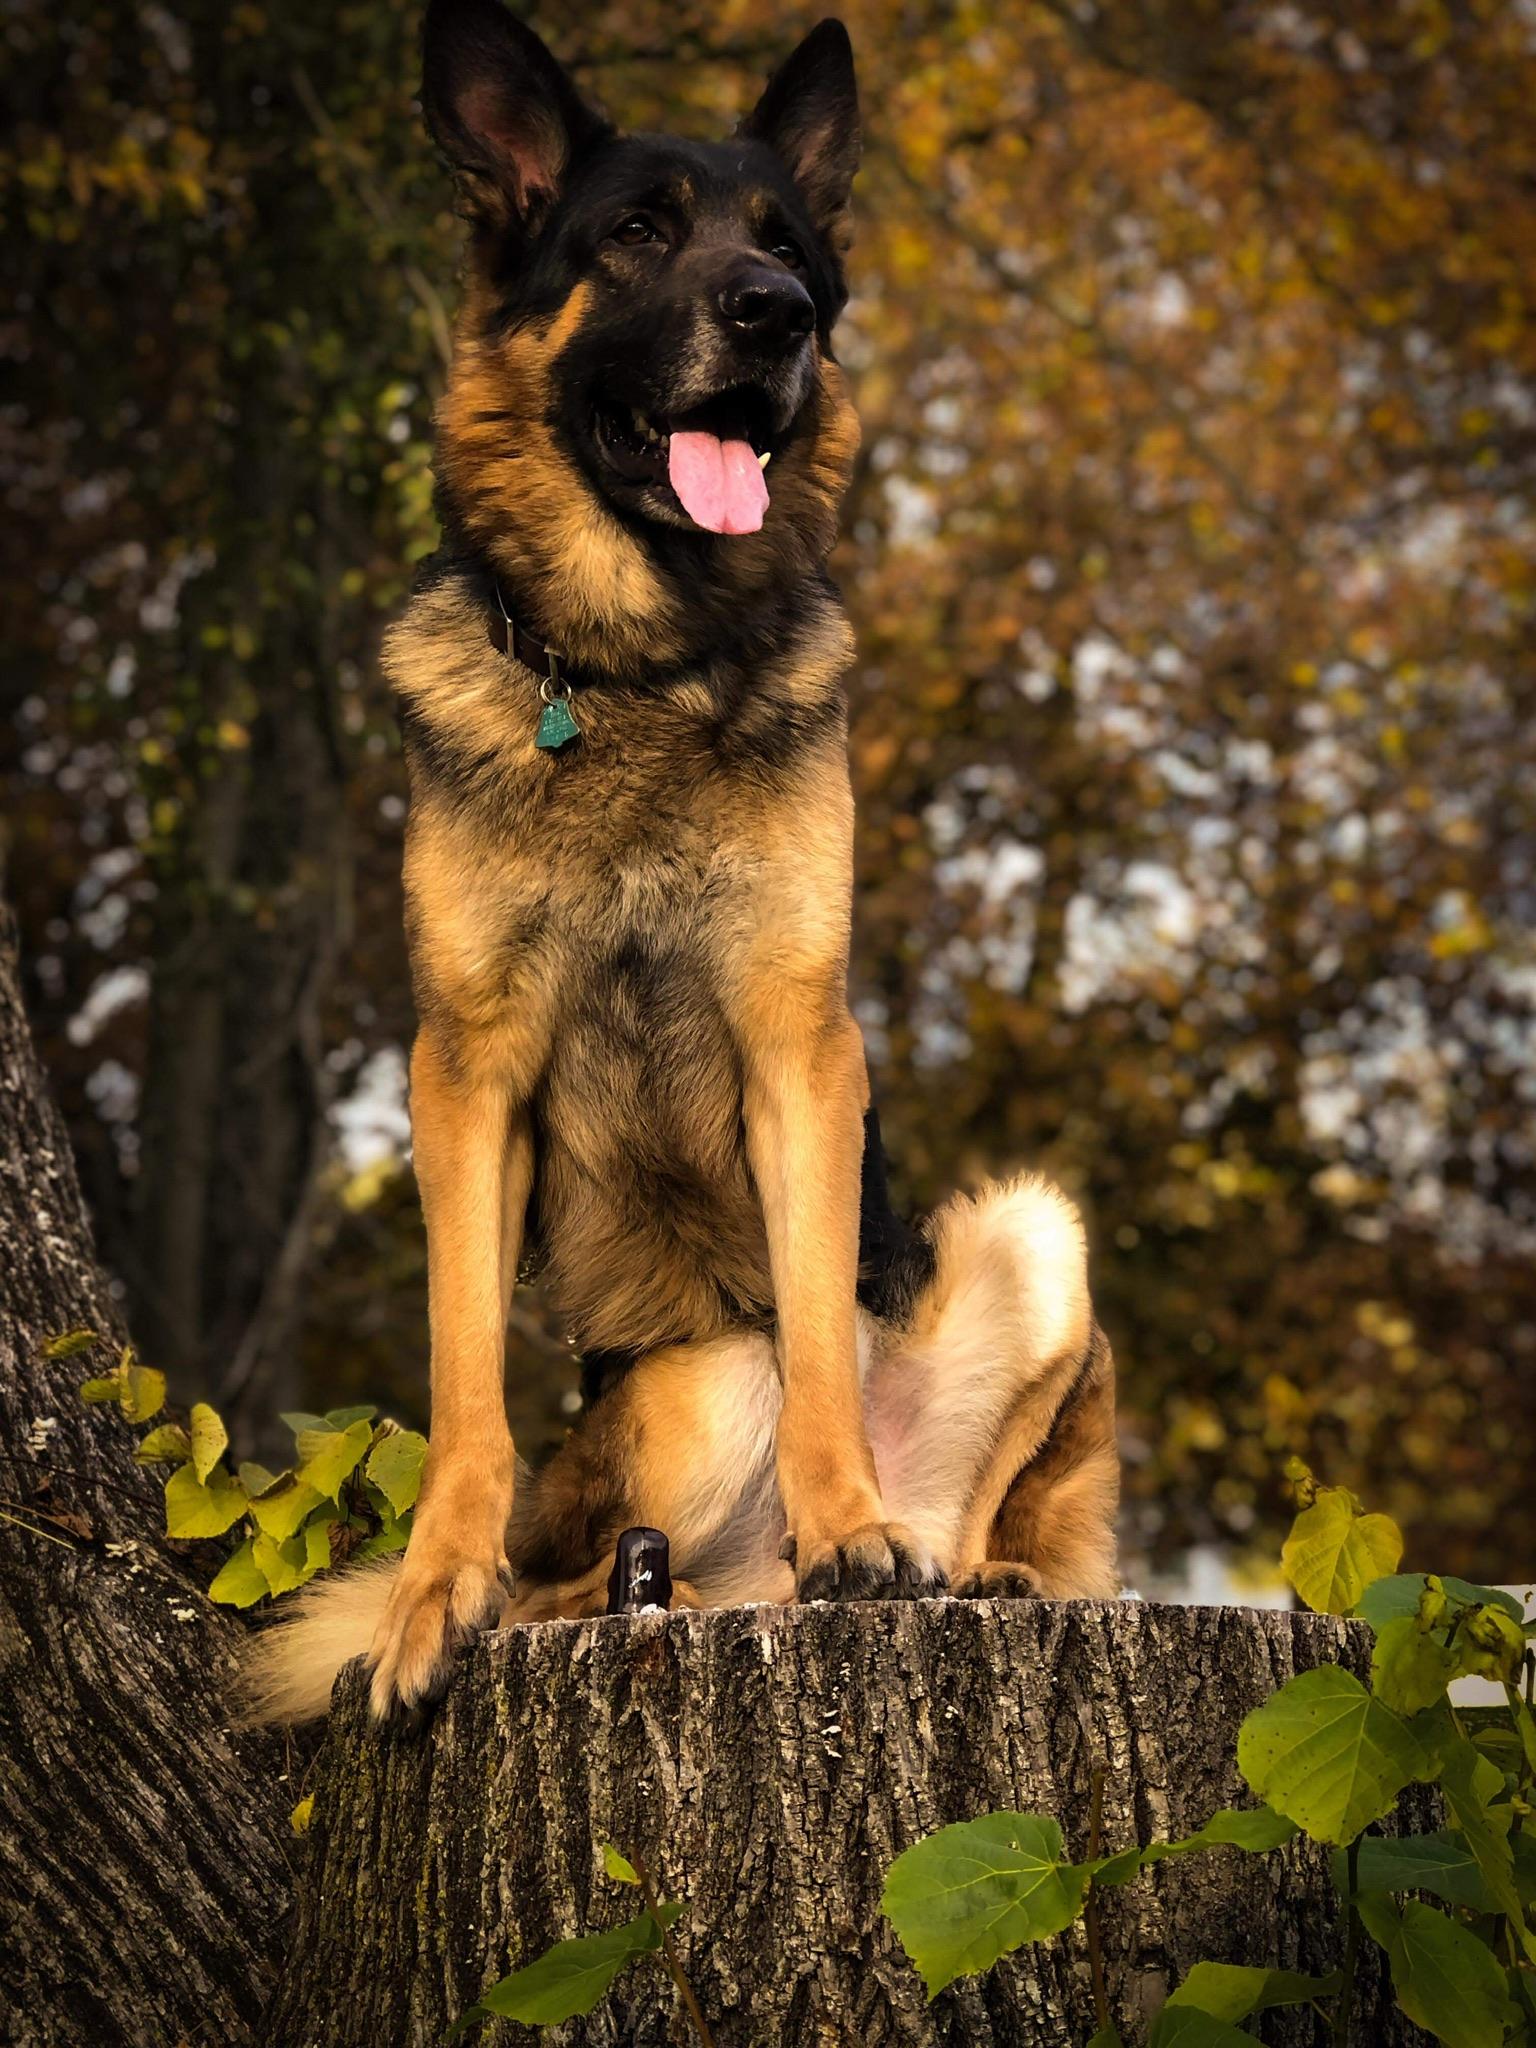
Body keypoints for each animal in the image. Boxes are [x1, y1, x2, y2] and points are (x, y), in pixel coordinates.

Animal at [245, 0, 1119, 1726]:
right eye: (638, 234)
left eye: (785, 246)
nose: (775, 315)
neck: (634, 669)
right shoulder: (464, 1070)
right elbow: (462, 1380)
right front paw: (428, 1599)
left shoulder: (802, 1045)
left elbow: (824, 1342)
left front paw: (853, 1529)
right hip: (699, 1386)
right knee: (578, 1571)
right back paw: (601, 1593)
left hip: (1032, 1240)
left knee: (980, 1506)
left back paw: (947, 1562)